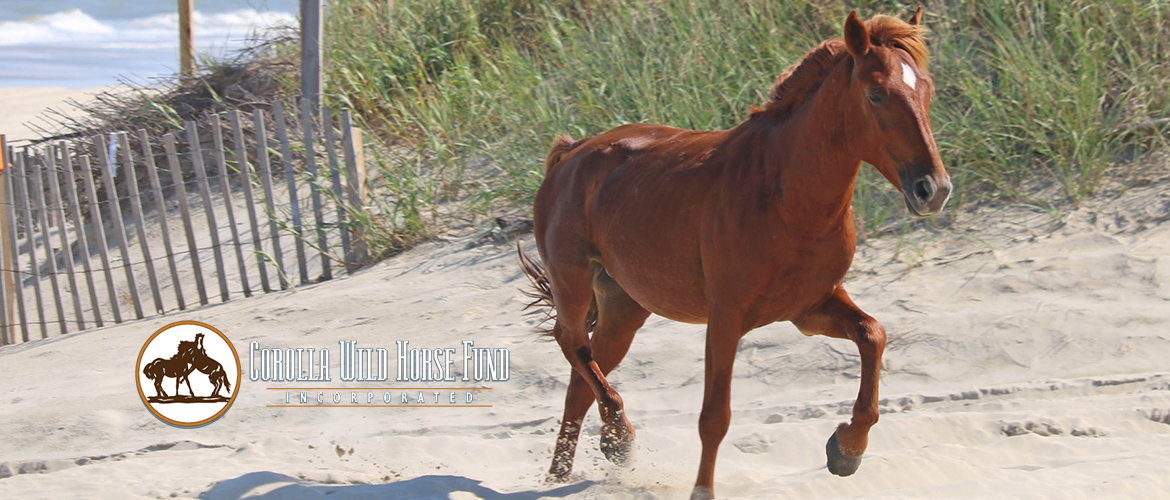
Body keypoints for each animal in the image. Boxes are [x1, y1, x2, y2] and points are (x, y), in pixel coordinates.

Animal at [521, 8, 950, 500]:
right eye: (877, 94)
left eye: (927, 89)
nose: (934, 190)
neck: (785, 193)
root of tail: (570, 153)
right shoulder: (726, 318)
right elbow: (715, 417)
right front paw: (701, 489)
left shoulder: (809, 309)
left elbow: (873, 335)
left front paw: (846, 450)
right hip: (573, 283)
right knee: (571, 343)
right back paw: (618, 438)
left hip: (623, 308)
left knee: (581, 375)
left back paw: (563, 472)